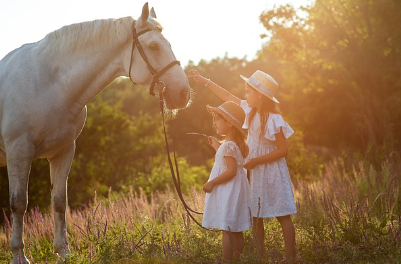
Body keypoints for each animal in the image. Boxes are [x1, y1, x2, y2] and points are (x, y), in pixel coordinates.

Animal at [0, 2, 191, 264]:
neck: (48, 83)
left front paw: (64, 253)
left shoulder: (63, 151)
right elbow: (19, 203)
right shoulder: (18, 152)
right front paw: (20, 256)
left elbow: (59, 202)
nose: (183, 93)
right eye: (153, 46)